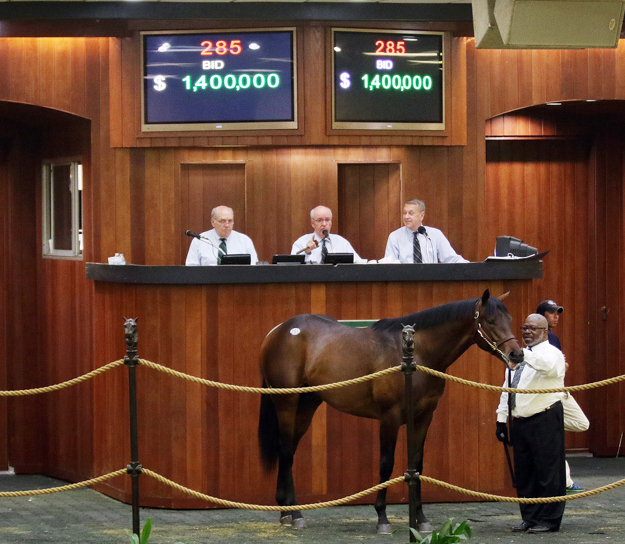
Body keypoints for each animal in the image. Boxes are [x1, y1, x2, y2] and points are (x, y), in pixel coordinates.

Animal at [256, 292, 524, 532]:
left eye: (509, 319)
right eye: (490, 320)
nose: (517, 354)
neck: (416, 354)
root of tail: (277, 331)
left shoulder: (424, 417)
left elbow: (417, 465)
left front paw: (421, 519)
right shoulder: (390, 417)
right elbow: (386, 463)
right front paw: (382, 518)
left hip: (306, 405)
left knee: (288, 450)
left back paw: (285, 511)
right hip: (287, 403)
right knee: (286, 450)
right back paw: (295, 514)